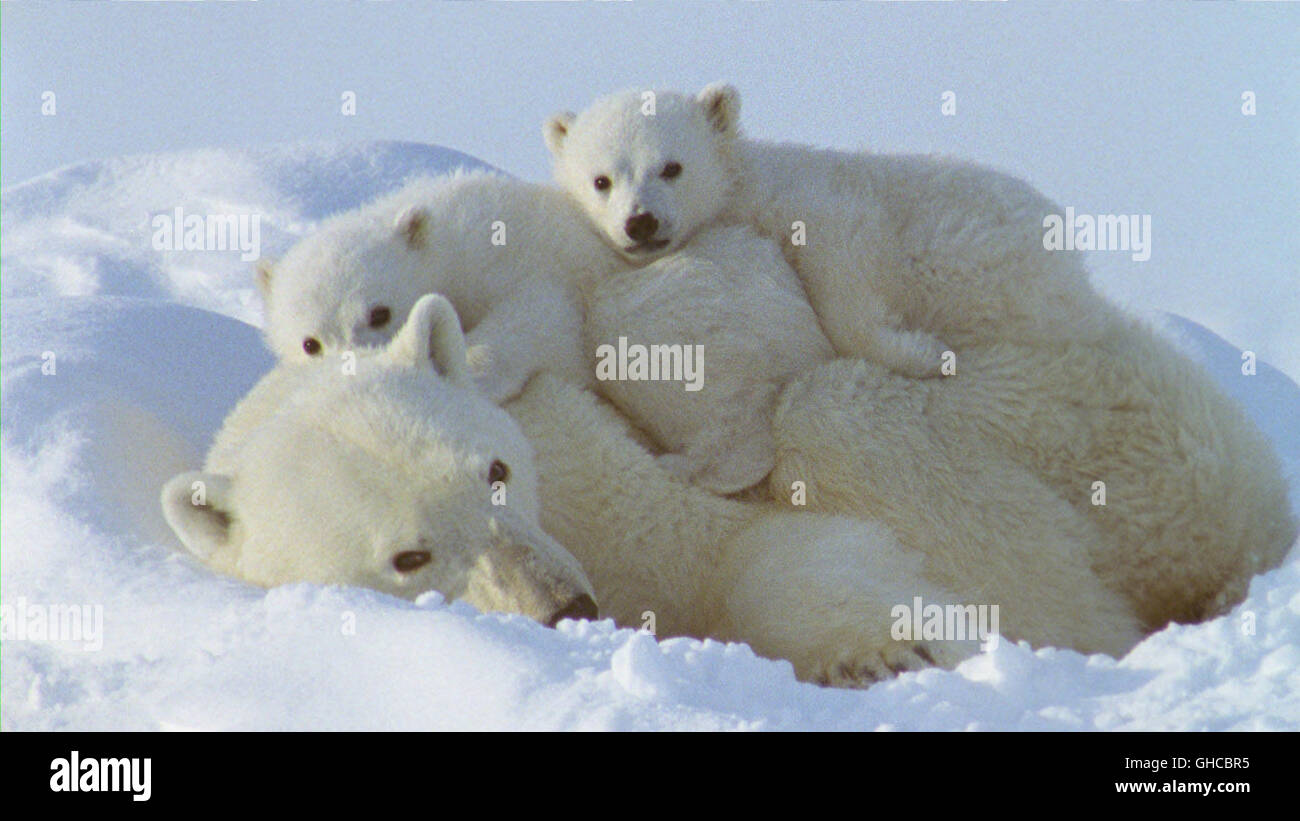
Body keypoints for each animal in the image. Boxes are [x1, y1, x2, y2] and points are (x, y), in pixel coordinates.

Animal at [262, 172, 832, 491]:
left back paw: (688, 464)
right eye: (311, 343)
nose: (359, 370)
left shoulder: (509, 252)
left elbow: (539, 317)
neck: (442, 237)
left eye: (379, 312)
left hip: (717, 301)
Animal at [543, 83, 1112, 379]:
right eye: (601, 180)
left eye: (672, 167)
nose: (640, 222)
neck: (744, 189)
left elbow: (843, 263)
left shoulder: (816, 203)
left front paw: (920, 353)